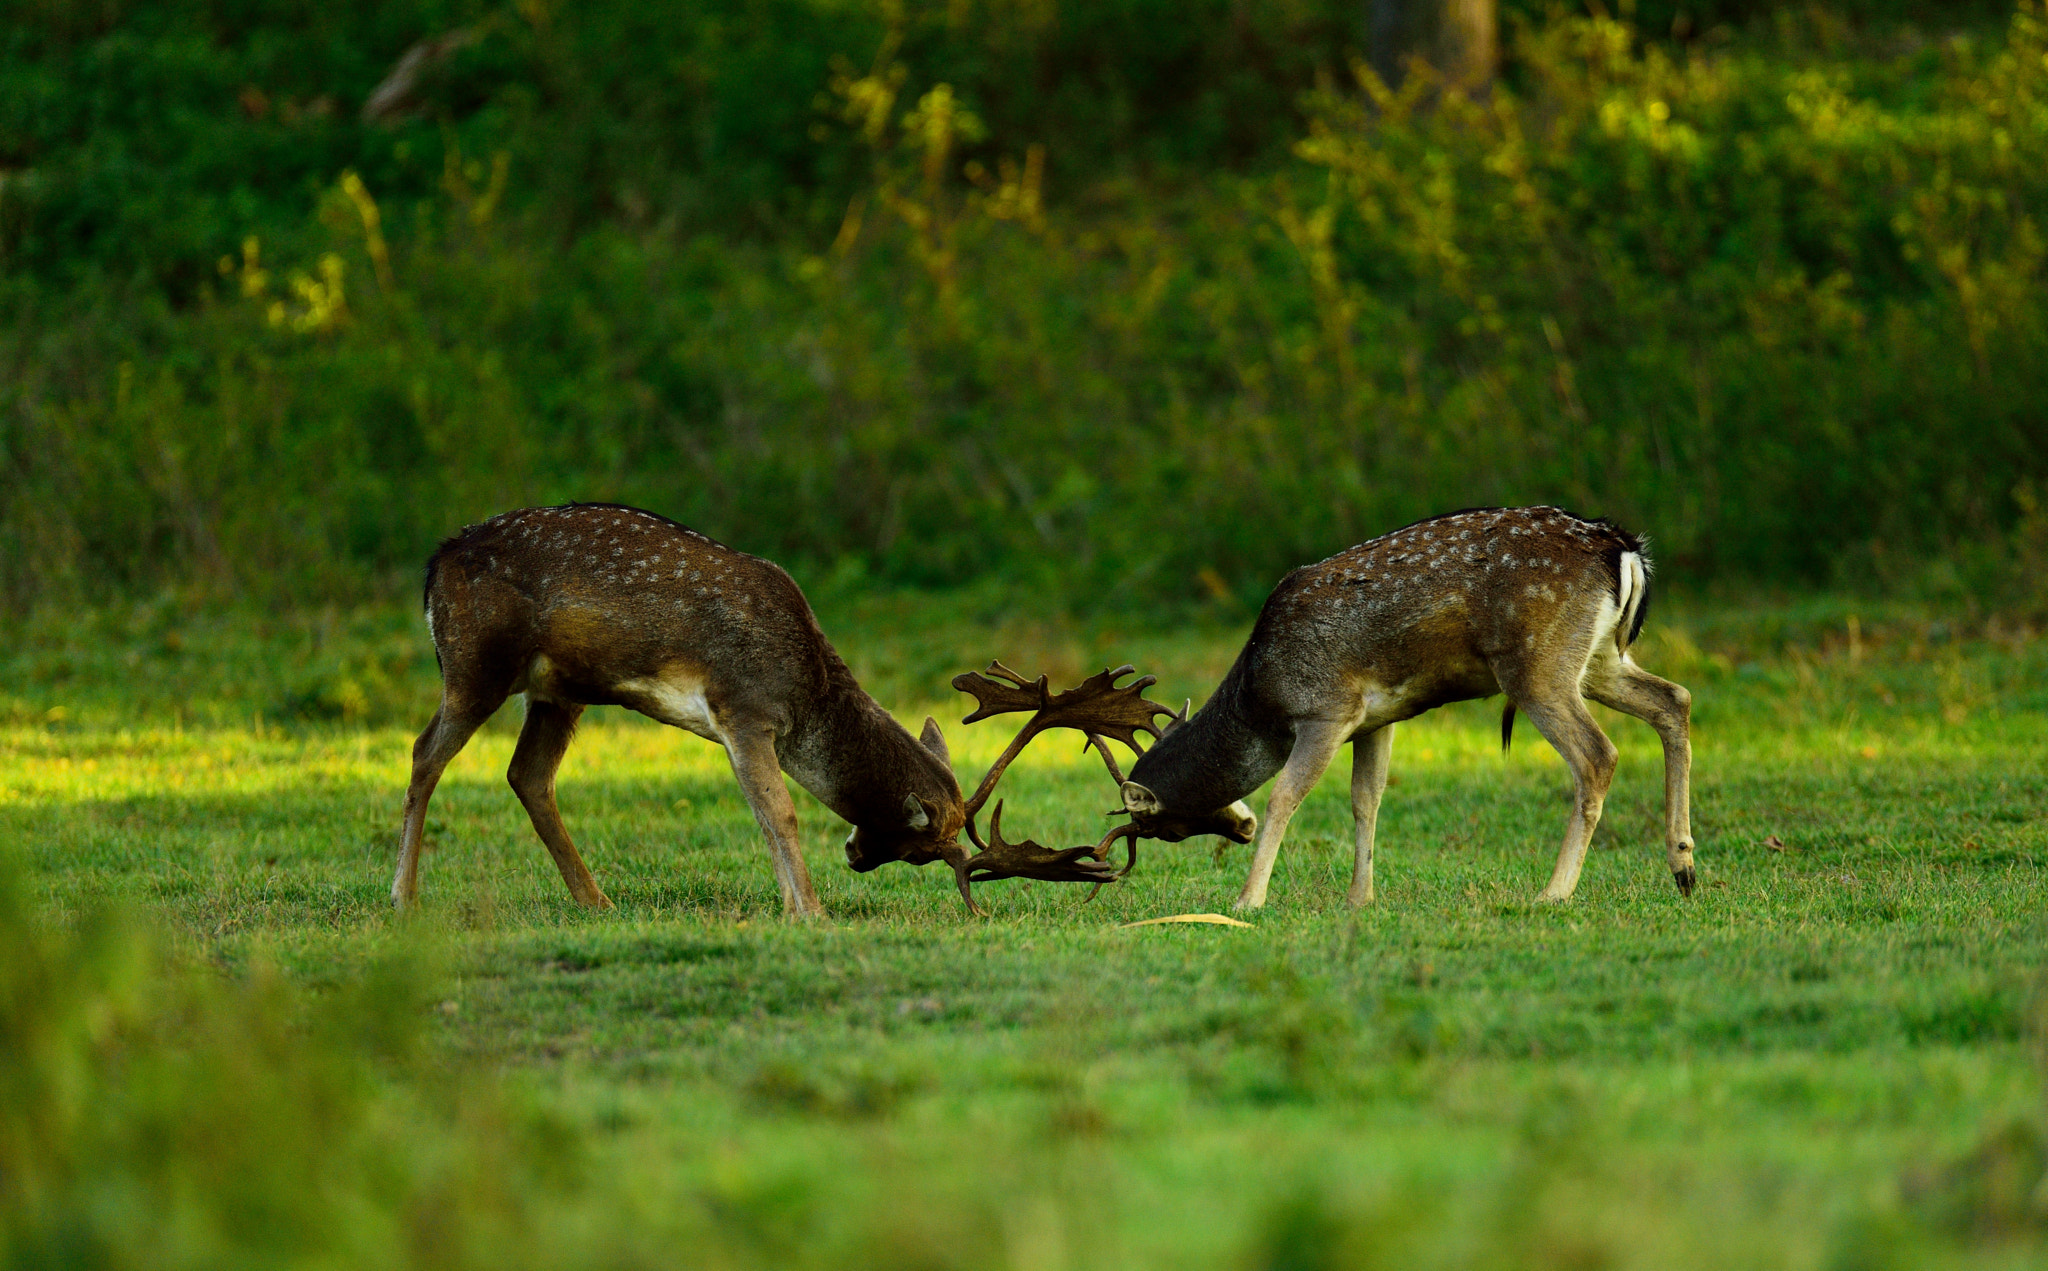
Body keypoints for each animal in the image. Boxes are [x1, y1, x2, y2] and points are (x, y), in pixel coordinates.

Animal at [382, 501, 1155, 916]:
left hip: (557, 688)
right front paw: (809, 909)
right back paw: (404, 897)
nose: (855, 856)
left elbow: (762, 814)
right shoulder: (743, 707)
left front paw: (793, 903)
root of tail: (433, 563)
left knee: (527, 774)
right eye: (918, 846)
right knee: (423, 752)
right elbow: (777, 810)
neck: (806, 689)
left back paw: (596, 900)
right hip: (476, 659)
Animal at [1089, 501, 1695, 908]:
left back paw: (1554, 892)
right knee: (1674, 698)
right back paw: (1684, 867)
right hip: (1598, 659)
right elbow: (1367, 800)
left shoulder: (1327, 708)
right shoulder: (1377, 720)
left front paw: (1248, 900)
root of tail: (1622, 548)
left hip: (1537, 665)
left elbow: (1286, 796)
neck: (1260, 699)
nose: (1239, 828)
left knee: (1598, 754)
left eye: (1154, 826)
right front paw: (1361, 898)